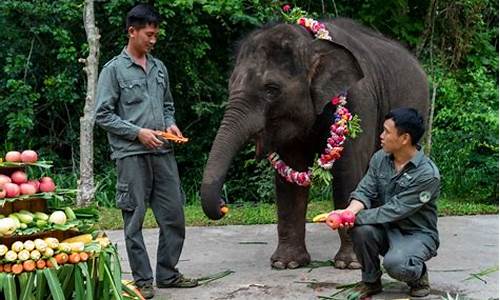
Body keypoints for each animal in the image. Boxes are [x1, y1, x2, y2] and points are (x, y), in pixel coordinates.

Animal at [199, 18, 430, 270]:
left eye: (271, 89)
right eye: (230, 85)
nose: (223, 205)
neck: (311, 43)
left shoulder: (359, 102)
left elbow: (347, 173)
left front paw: (349, 264)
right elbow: (291, 176)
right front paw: (286, 263)